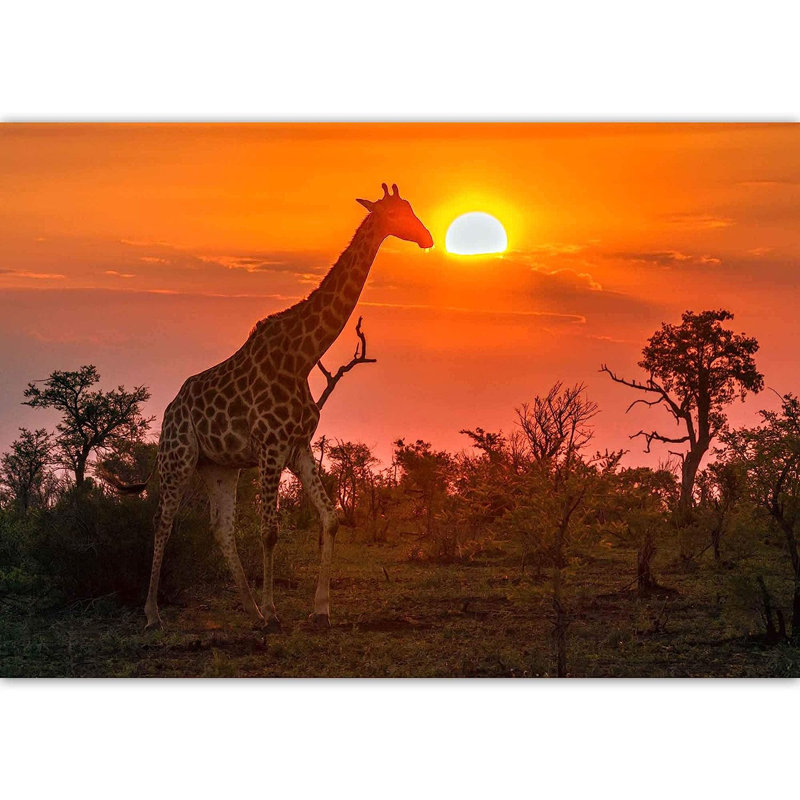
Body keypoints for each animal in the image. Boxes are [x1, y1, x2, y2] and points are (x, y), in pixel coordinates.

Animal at [143, 183, 433, 630]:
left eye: (411, 208)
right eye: (398, 213)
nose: (427, 237)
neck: (302, 356)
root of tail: (170, 409)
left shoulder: (298, 446)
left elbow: (330, 518)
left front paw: (321, 609)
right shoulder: (270, 446)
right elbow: (269, 531)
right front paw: (276, 612)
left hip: (219, 465)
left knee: (221, 527)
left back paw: (250, 608)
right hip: (178, 455)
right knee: (163, 521)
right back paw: (154, 613)